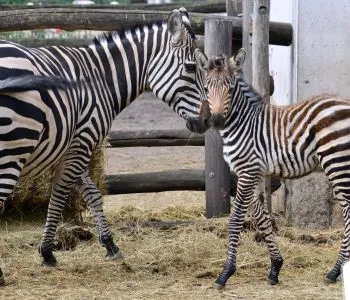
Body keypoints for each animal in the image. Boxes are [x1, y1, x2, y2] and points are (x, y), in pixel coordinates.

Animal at [0, 5, 208, 284]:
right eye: (191, 67)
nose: (207, 120)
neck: (100, 80)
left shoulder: (69, 149)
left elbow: (92, 194)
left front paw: (109, 244)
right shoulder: (82, 142)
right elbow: (60, 195)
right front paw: (47, 252)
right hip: (14, 147)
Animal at [187, 50, 350, 290]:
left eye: (230, 89)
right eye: (206, 88)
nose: (216, 120)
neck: (242, 124)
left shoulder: (247, 171)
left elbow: (235, 220)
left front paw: (225, 273)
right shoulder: (254, 173)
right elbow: (262, 219)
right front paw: (275, 268)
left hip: (336, 160)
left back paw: (335, 270)